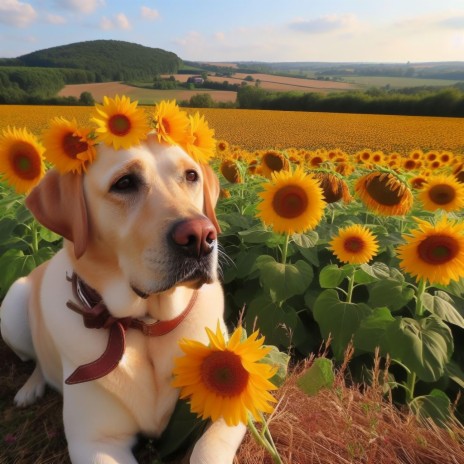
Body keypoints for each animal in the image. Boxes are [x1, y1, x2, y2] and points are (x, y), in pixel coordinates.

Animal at [0, 135, 245, 464]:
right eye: (124, 182)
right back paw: (30, 389)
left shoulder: (234, 404)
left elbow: (207, 450)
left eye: (191, 176)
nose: (200, 237)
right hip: (12, 304)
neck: (147, 324)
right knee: (36, 360)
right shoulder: (95, 442)